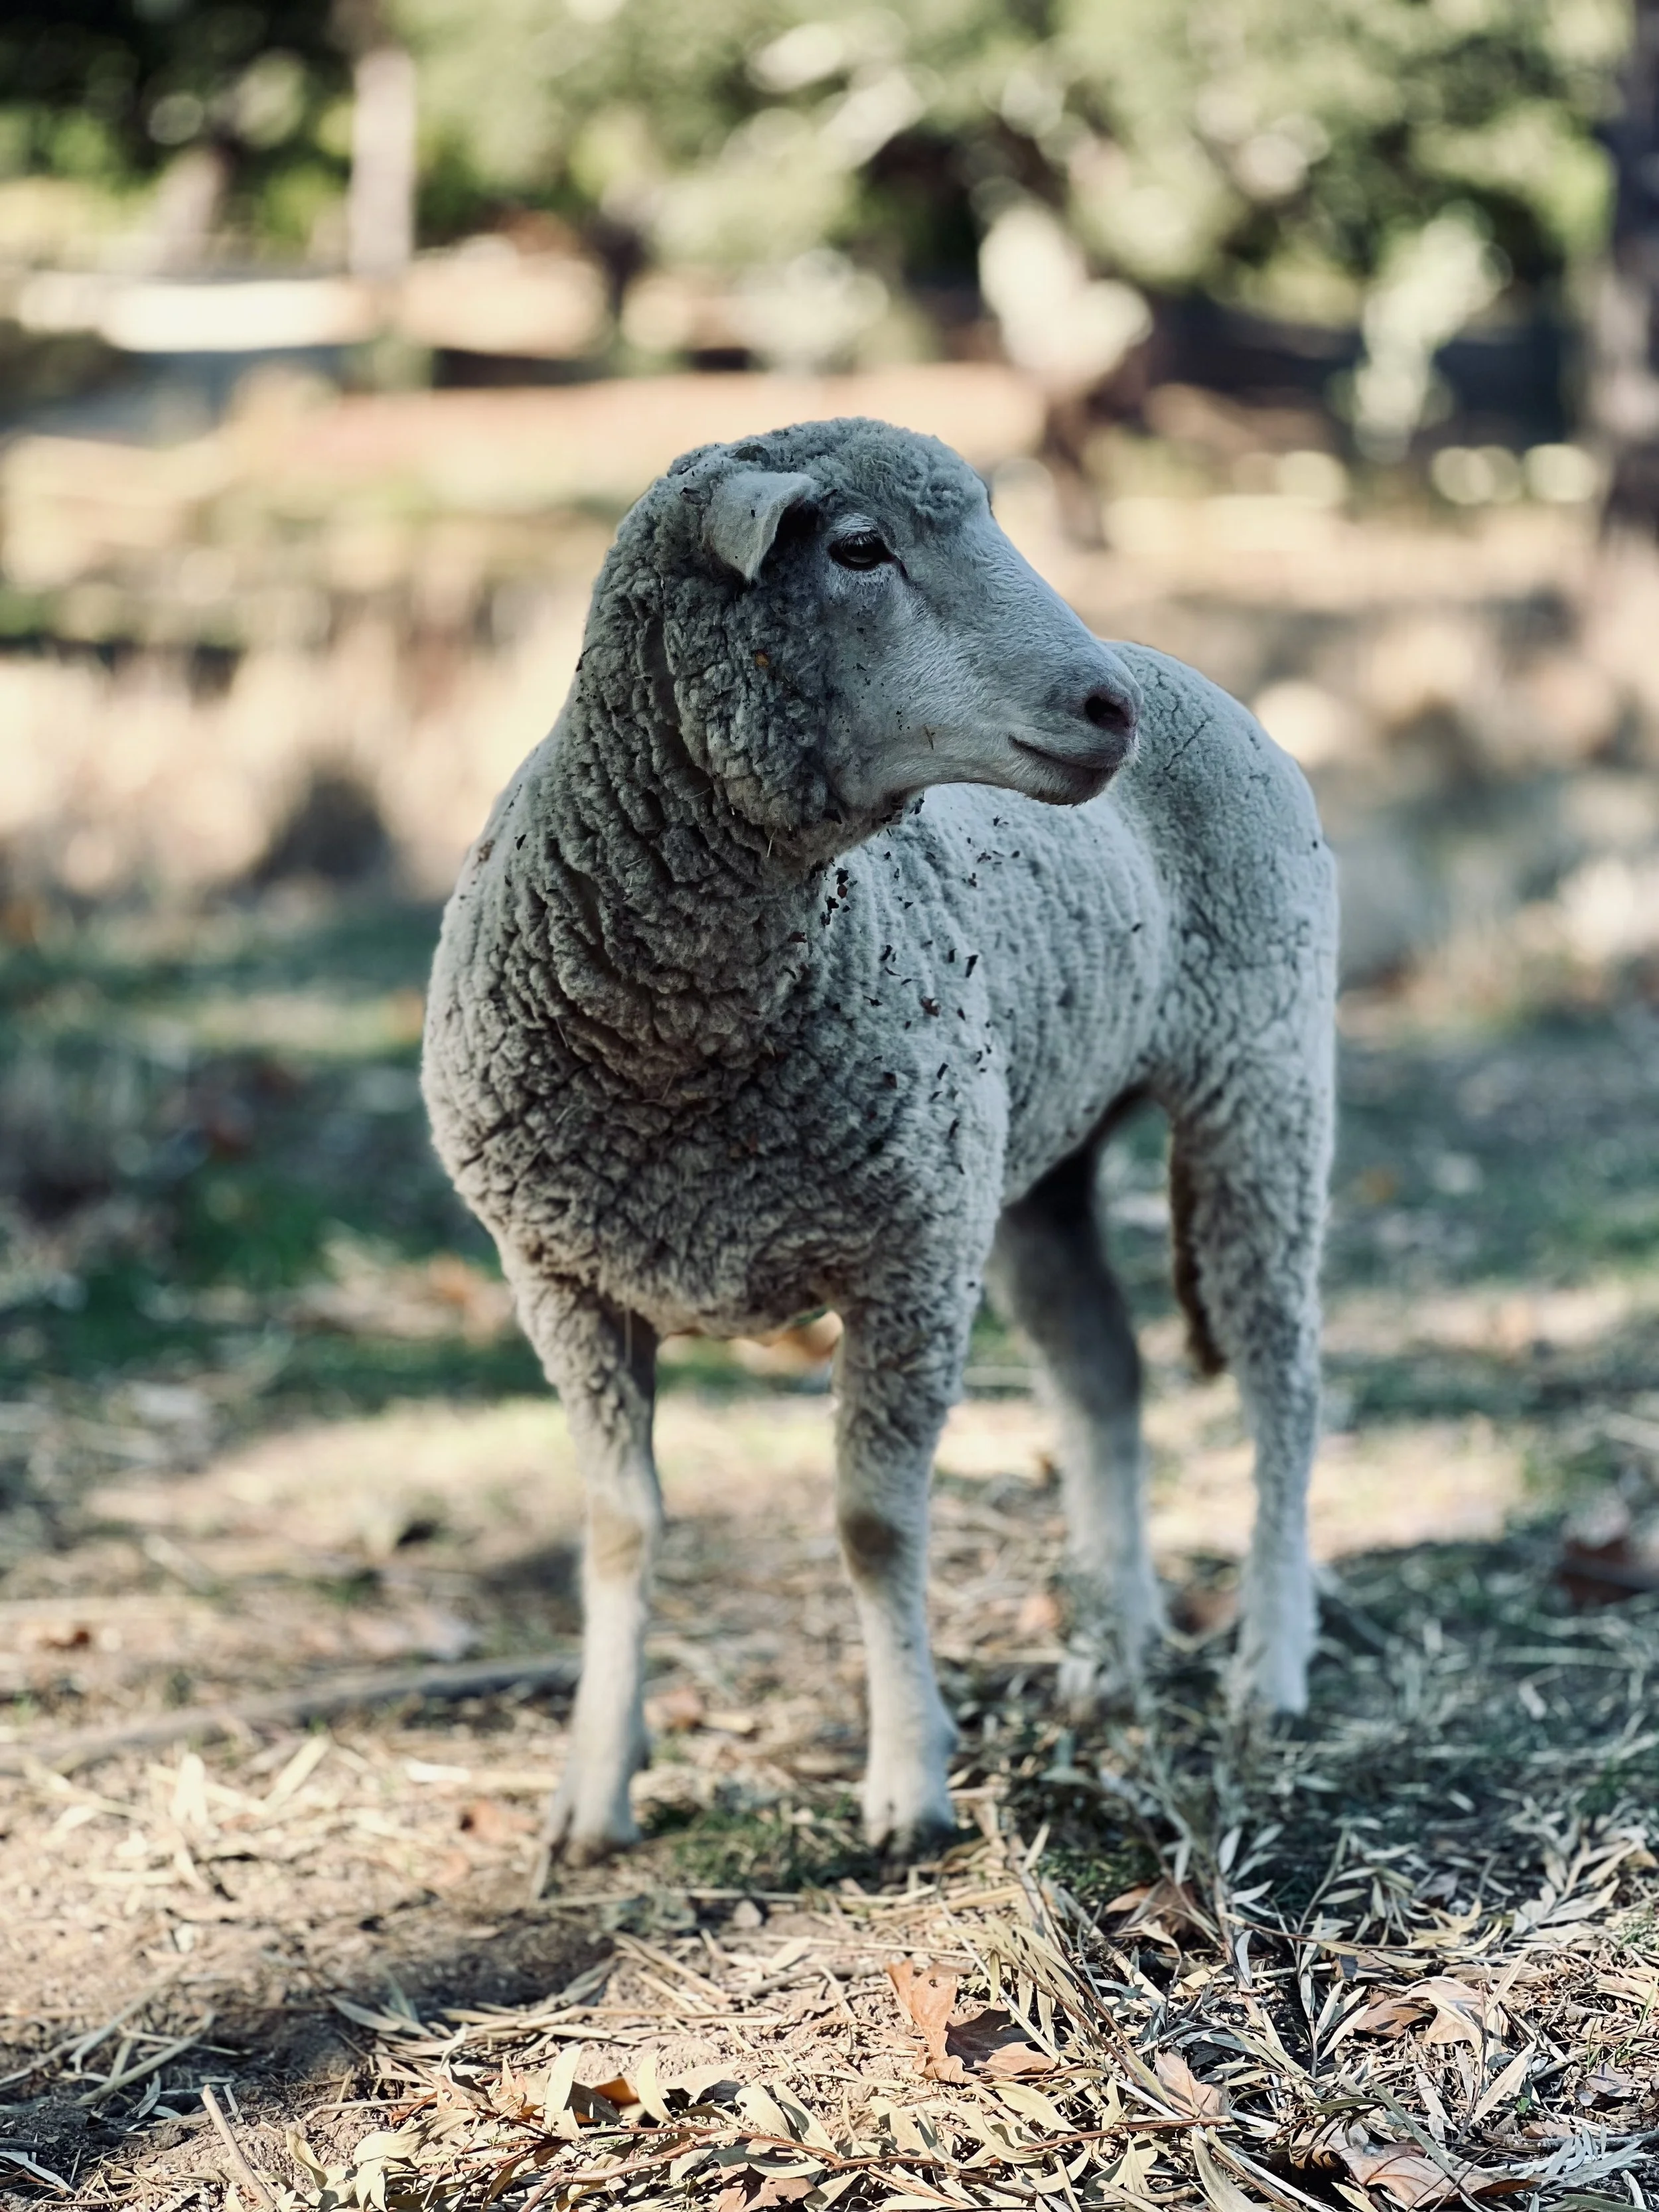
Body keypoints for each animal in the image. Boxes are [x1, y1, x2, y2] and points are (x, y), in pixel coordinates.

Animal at [422, 416, 1338, 1866]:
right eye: (858, 548)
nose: (1105, 712)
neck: (678, 1047)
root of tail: (1186, 671)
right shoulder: (556, 1272)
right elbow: (619, 1526)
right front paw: (594, 1784)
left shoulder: (902, 1260)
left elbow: (872, 1523)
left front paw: (907, 1780)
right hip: (1026, 1162)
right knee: (1103, 1376)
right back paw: (1117, 1646)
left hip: (1259, 1075)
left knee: (1281, 1379)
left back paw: (1270, 1662)